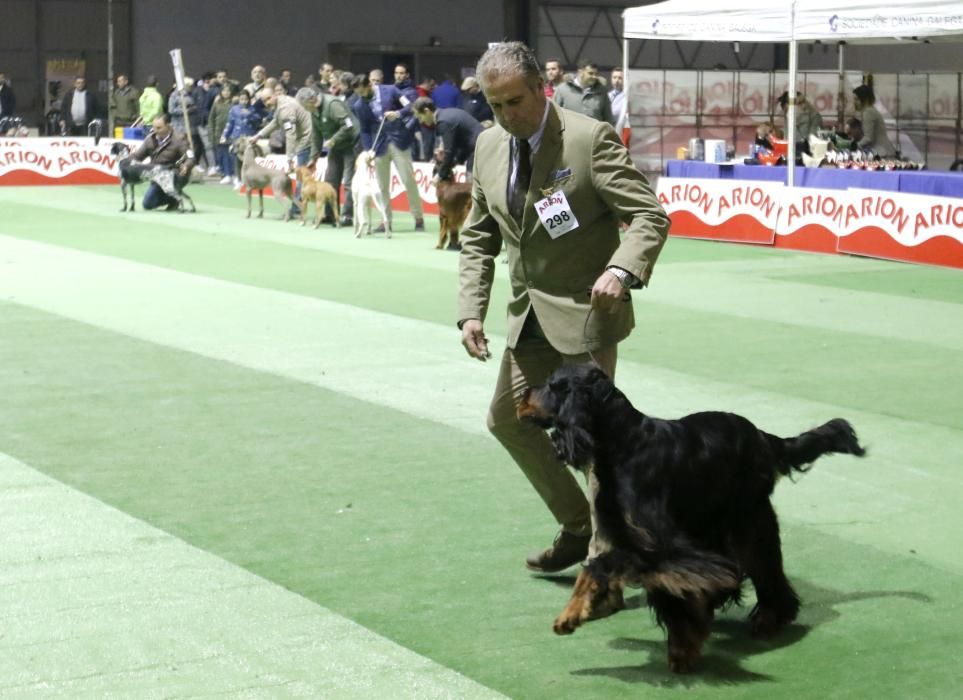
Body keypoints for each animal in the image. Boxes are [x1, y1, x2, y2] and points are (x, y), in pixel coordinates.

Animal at [516, 364, 868, 668]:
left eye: (552, 384)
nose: (523, 394)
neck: (625, 444)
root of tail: (761, 435)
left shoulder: (657, 543)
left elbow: (609, 568)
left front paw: (683, 649)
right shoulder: (620, 533)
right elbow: (594, 569)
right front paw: (570, 615)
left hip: (747, 518)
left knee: (763, 563)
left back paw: (770, 616)